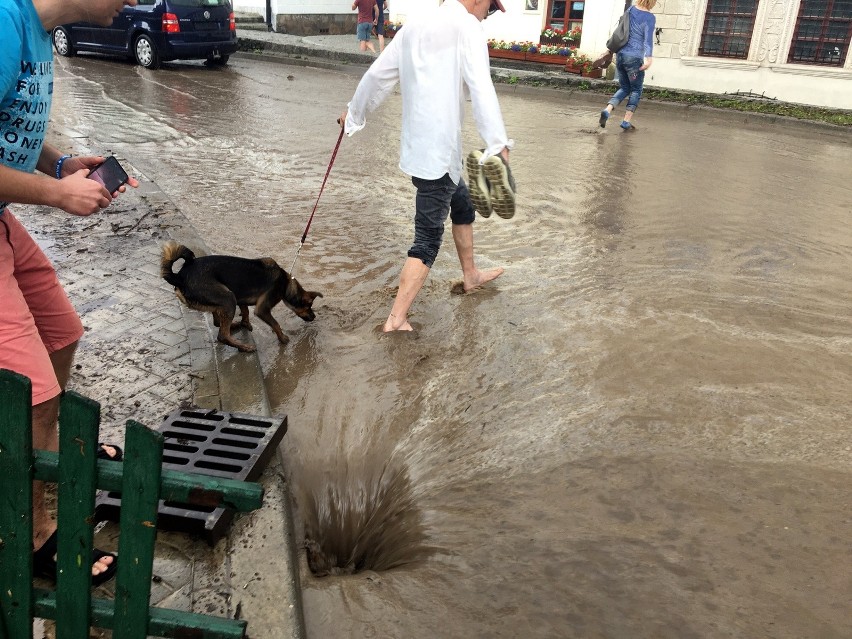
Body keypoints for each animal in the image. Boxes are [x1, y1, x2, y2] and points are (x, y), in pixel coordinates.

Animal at [161, 241, 322, 352]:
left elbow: (245, 311)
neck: (285, 282)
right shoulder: (262, 310)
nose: (314, 317)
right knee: (222, 335)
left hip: (224, 299)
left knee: (218, 323)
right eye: (309, 307)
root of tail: (179, 277)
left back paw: (235, 325)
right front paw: (282, 338)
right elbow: (275, 323)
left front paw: (245, 323)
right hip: (228, 298)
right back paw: (244, 347)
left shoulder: (241, 297)